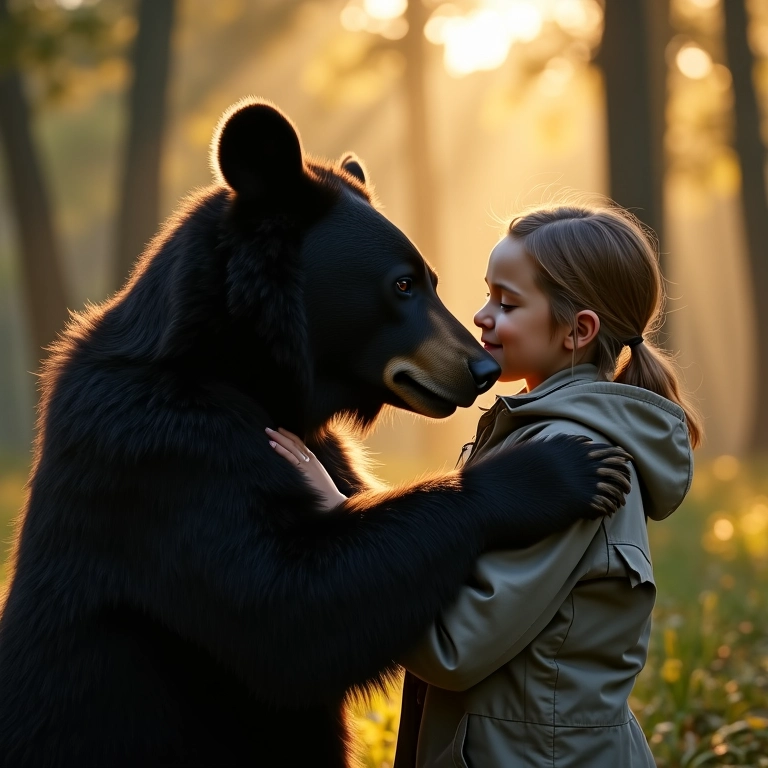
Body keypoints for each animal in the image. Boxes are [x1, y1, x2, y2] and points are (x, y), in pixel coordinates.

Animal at [0, 100, 630, 767]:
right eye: (402, 284)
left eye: (429, 278)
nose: (481, 369)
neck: (244, 369)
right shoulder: (163, 453)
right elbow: (285, 605)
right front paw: (554, 471)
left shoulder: (309, 440)